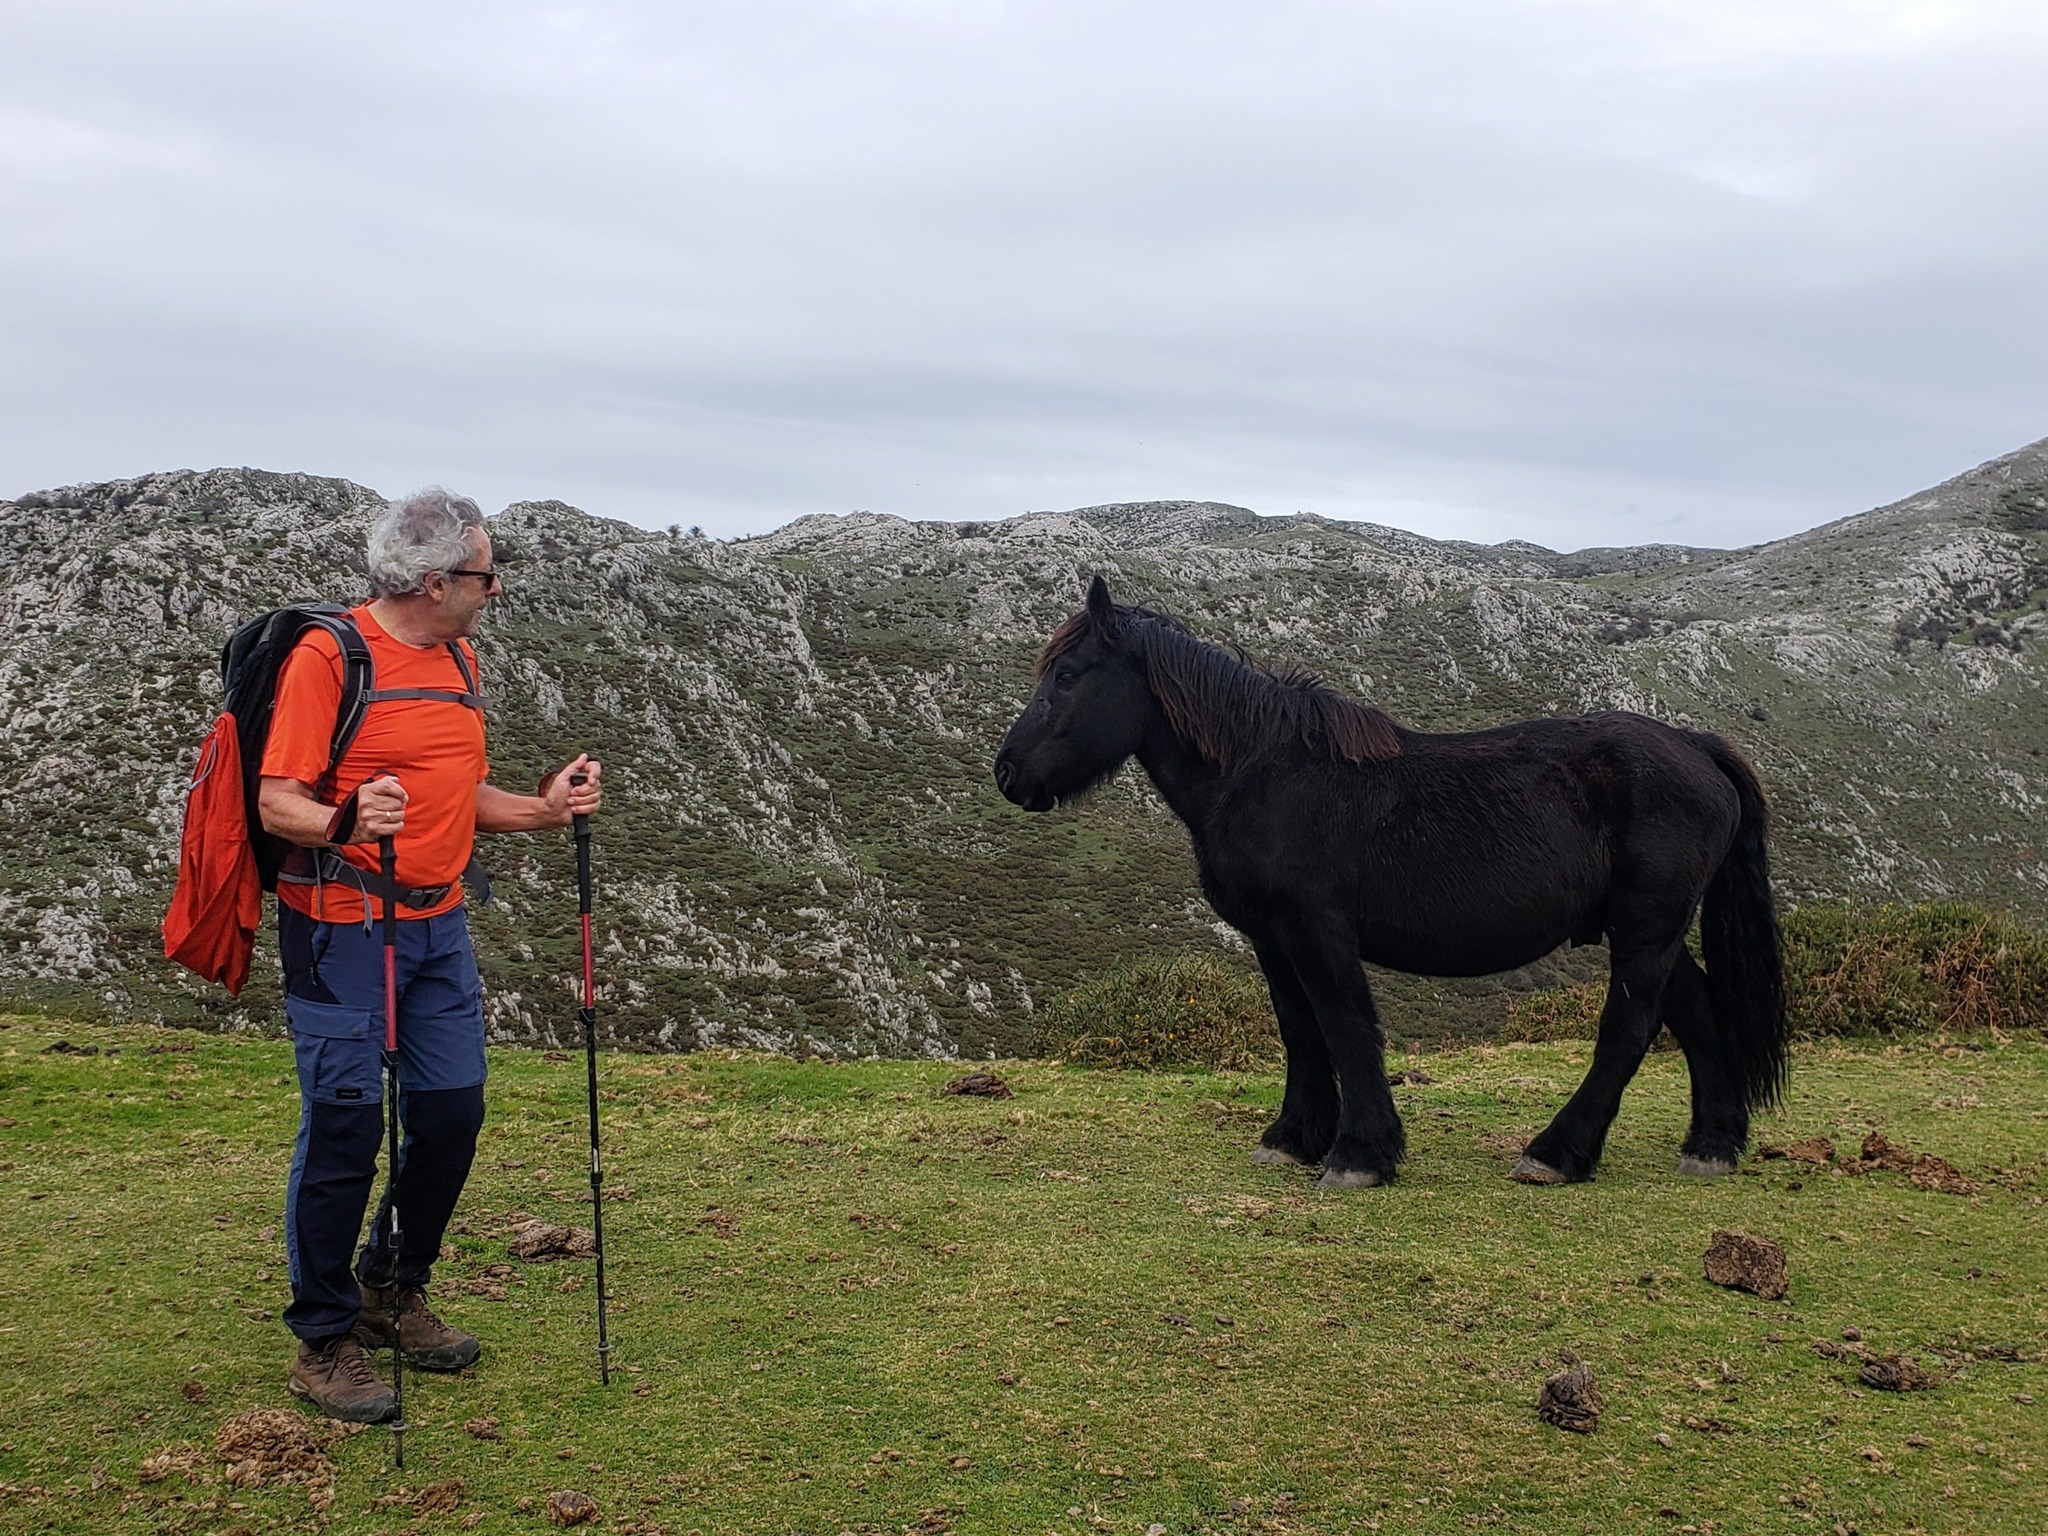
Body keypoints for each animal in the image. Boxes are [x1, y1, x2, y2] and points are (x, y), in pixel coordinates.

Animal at [987, 577, 1777, 1187]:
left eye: (1067, 675)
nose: (1007, 773)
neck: (1265, 773)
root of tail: (1696, 746)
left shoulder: (1317, 929)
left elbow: (1344, 1026)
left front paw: (1360, 1155)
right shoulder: (1272, 938)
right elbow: (1300, 1029)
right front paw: (1293, 1139)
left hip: (1646, 927)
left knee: (1629, 1029)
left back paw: (1556, 1154)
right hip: (1646, 929)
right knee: (1696, 1012)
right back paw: (1712, 1146)